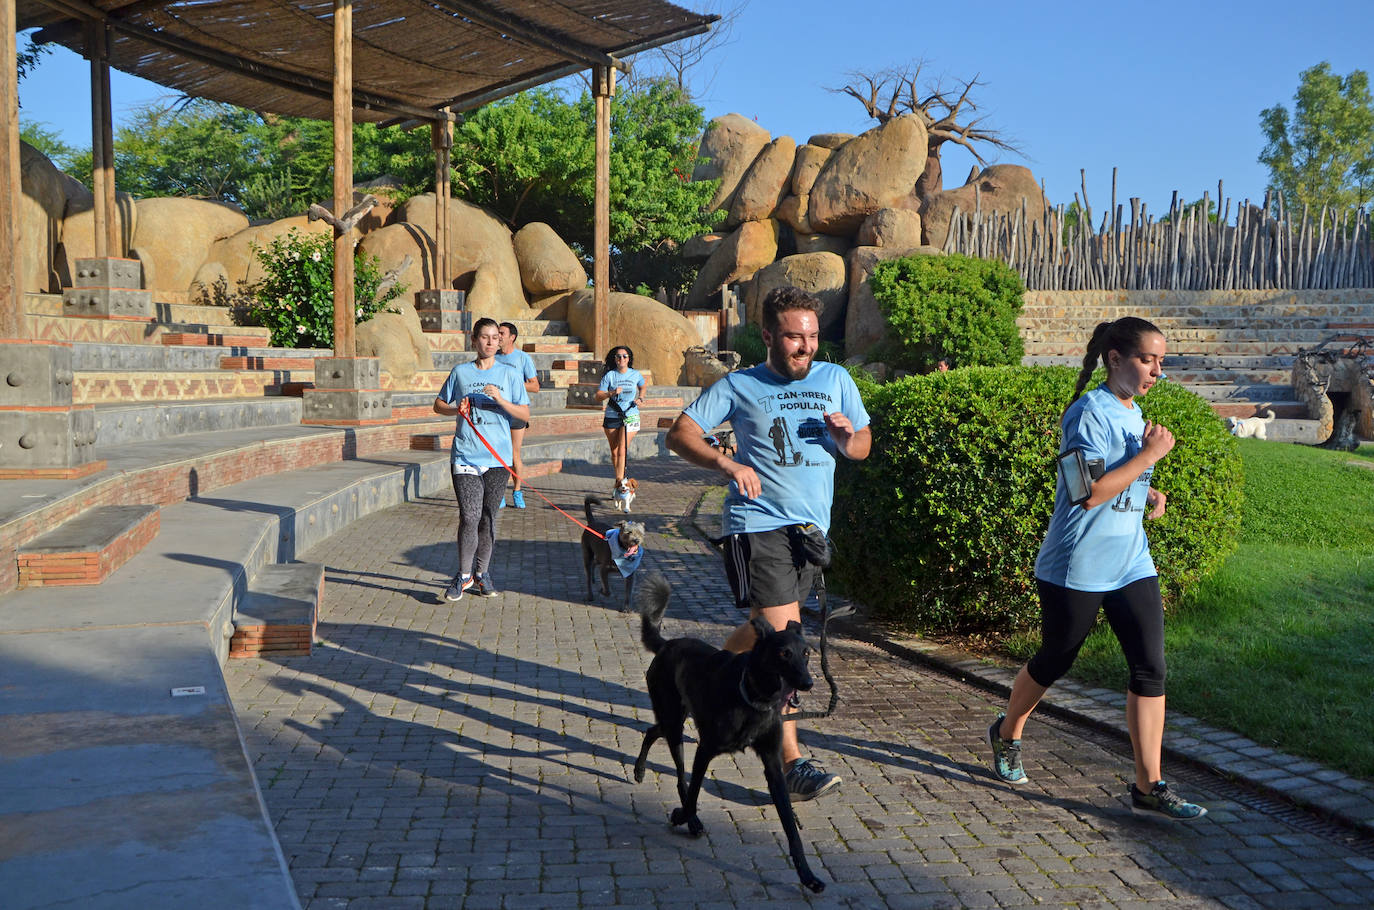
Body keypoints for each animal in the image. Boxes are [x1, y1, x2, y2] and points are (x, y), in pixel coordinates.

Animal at [634, 574, 824, 896]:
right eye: (783, 654)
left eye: (807, 653)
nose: (808, 683)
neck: (755, 699)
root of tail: (667, 645)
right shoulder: (705, 749)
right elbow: (693, 795)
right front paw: (683, 816)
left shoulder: (772, 764)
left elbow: (790, 827)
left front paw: (808, 876)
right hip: (675, 726)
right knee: (681, 776)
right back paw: (689, 818)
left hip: (675, 719)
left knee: (651, 730)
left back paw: (640, 770)